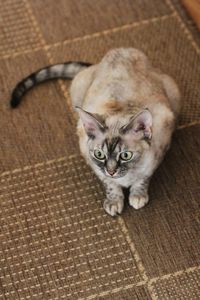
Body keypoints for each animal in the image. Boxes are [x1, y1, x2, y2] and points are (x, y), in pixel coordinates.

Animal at [10, 47, 180, 216]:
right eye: (99, 154)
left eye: (125, 155)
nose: (111, 171)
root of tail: (120, 50)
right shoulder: (90, 158)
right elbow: (109, 183)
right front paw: (114, 202)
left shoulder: (159, 150)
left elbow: (142, 178)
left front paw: (138, 196)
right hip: (78, 88)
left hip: (173, 90)